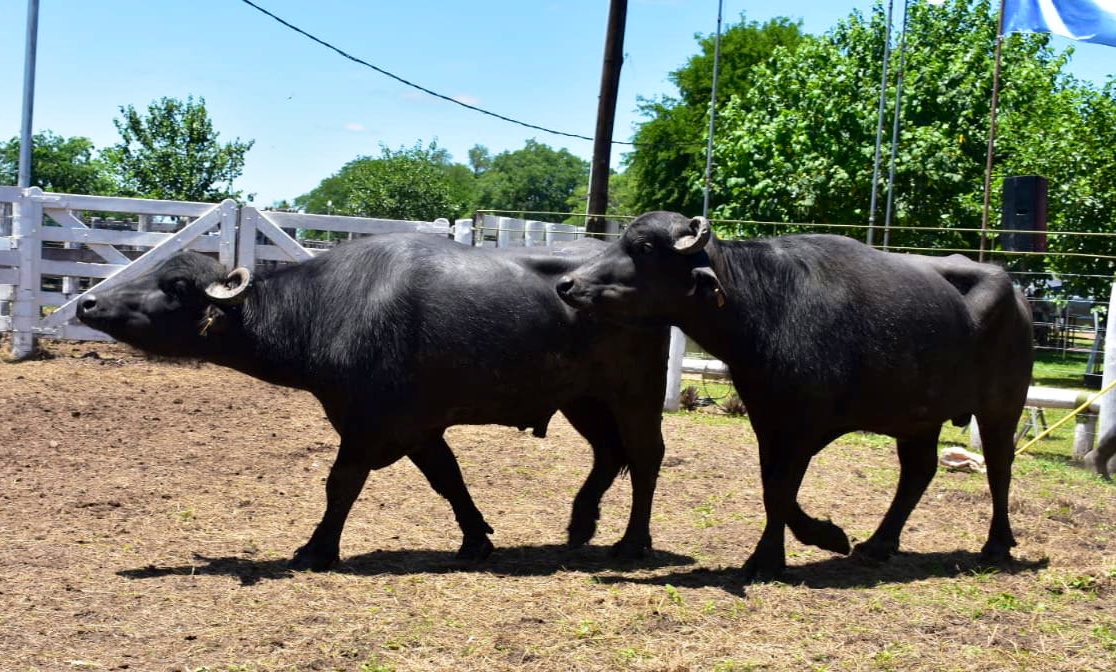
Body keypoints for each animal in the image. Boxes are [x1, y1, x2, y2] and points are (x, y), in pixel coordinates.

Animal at [78, 234, 669, 570]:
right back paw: (580, 525)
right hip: (584, 400)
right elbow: (449, 480)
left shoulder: (366, 427)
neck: (321, 309)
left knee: (645, 458)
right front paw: (475, 540)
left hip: (635, 394)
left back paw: (631, 542)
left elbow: (340, 485)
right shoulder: (419, 429)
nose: (87, 302)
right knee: (608, 456)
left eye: (175, 286)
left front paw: (316, 549)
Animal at [557, 211, 1033, 582]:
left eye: (644, 247)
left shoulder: (802, 425)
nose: (567, 284)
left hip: (1001, 406)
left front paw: (768, 558)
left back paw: (996, 545)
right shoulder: (768, 420)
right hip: (918, 417)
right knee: (918, 472)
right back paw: (878, 544)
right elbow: (774, 488)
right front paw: (827, 537)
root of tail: (1019, 296)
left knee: (999, 468)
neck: (766, 306)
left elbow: (782, 490)